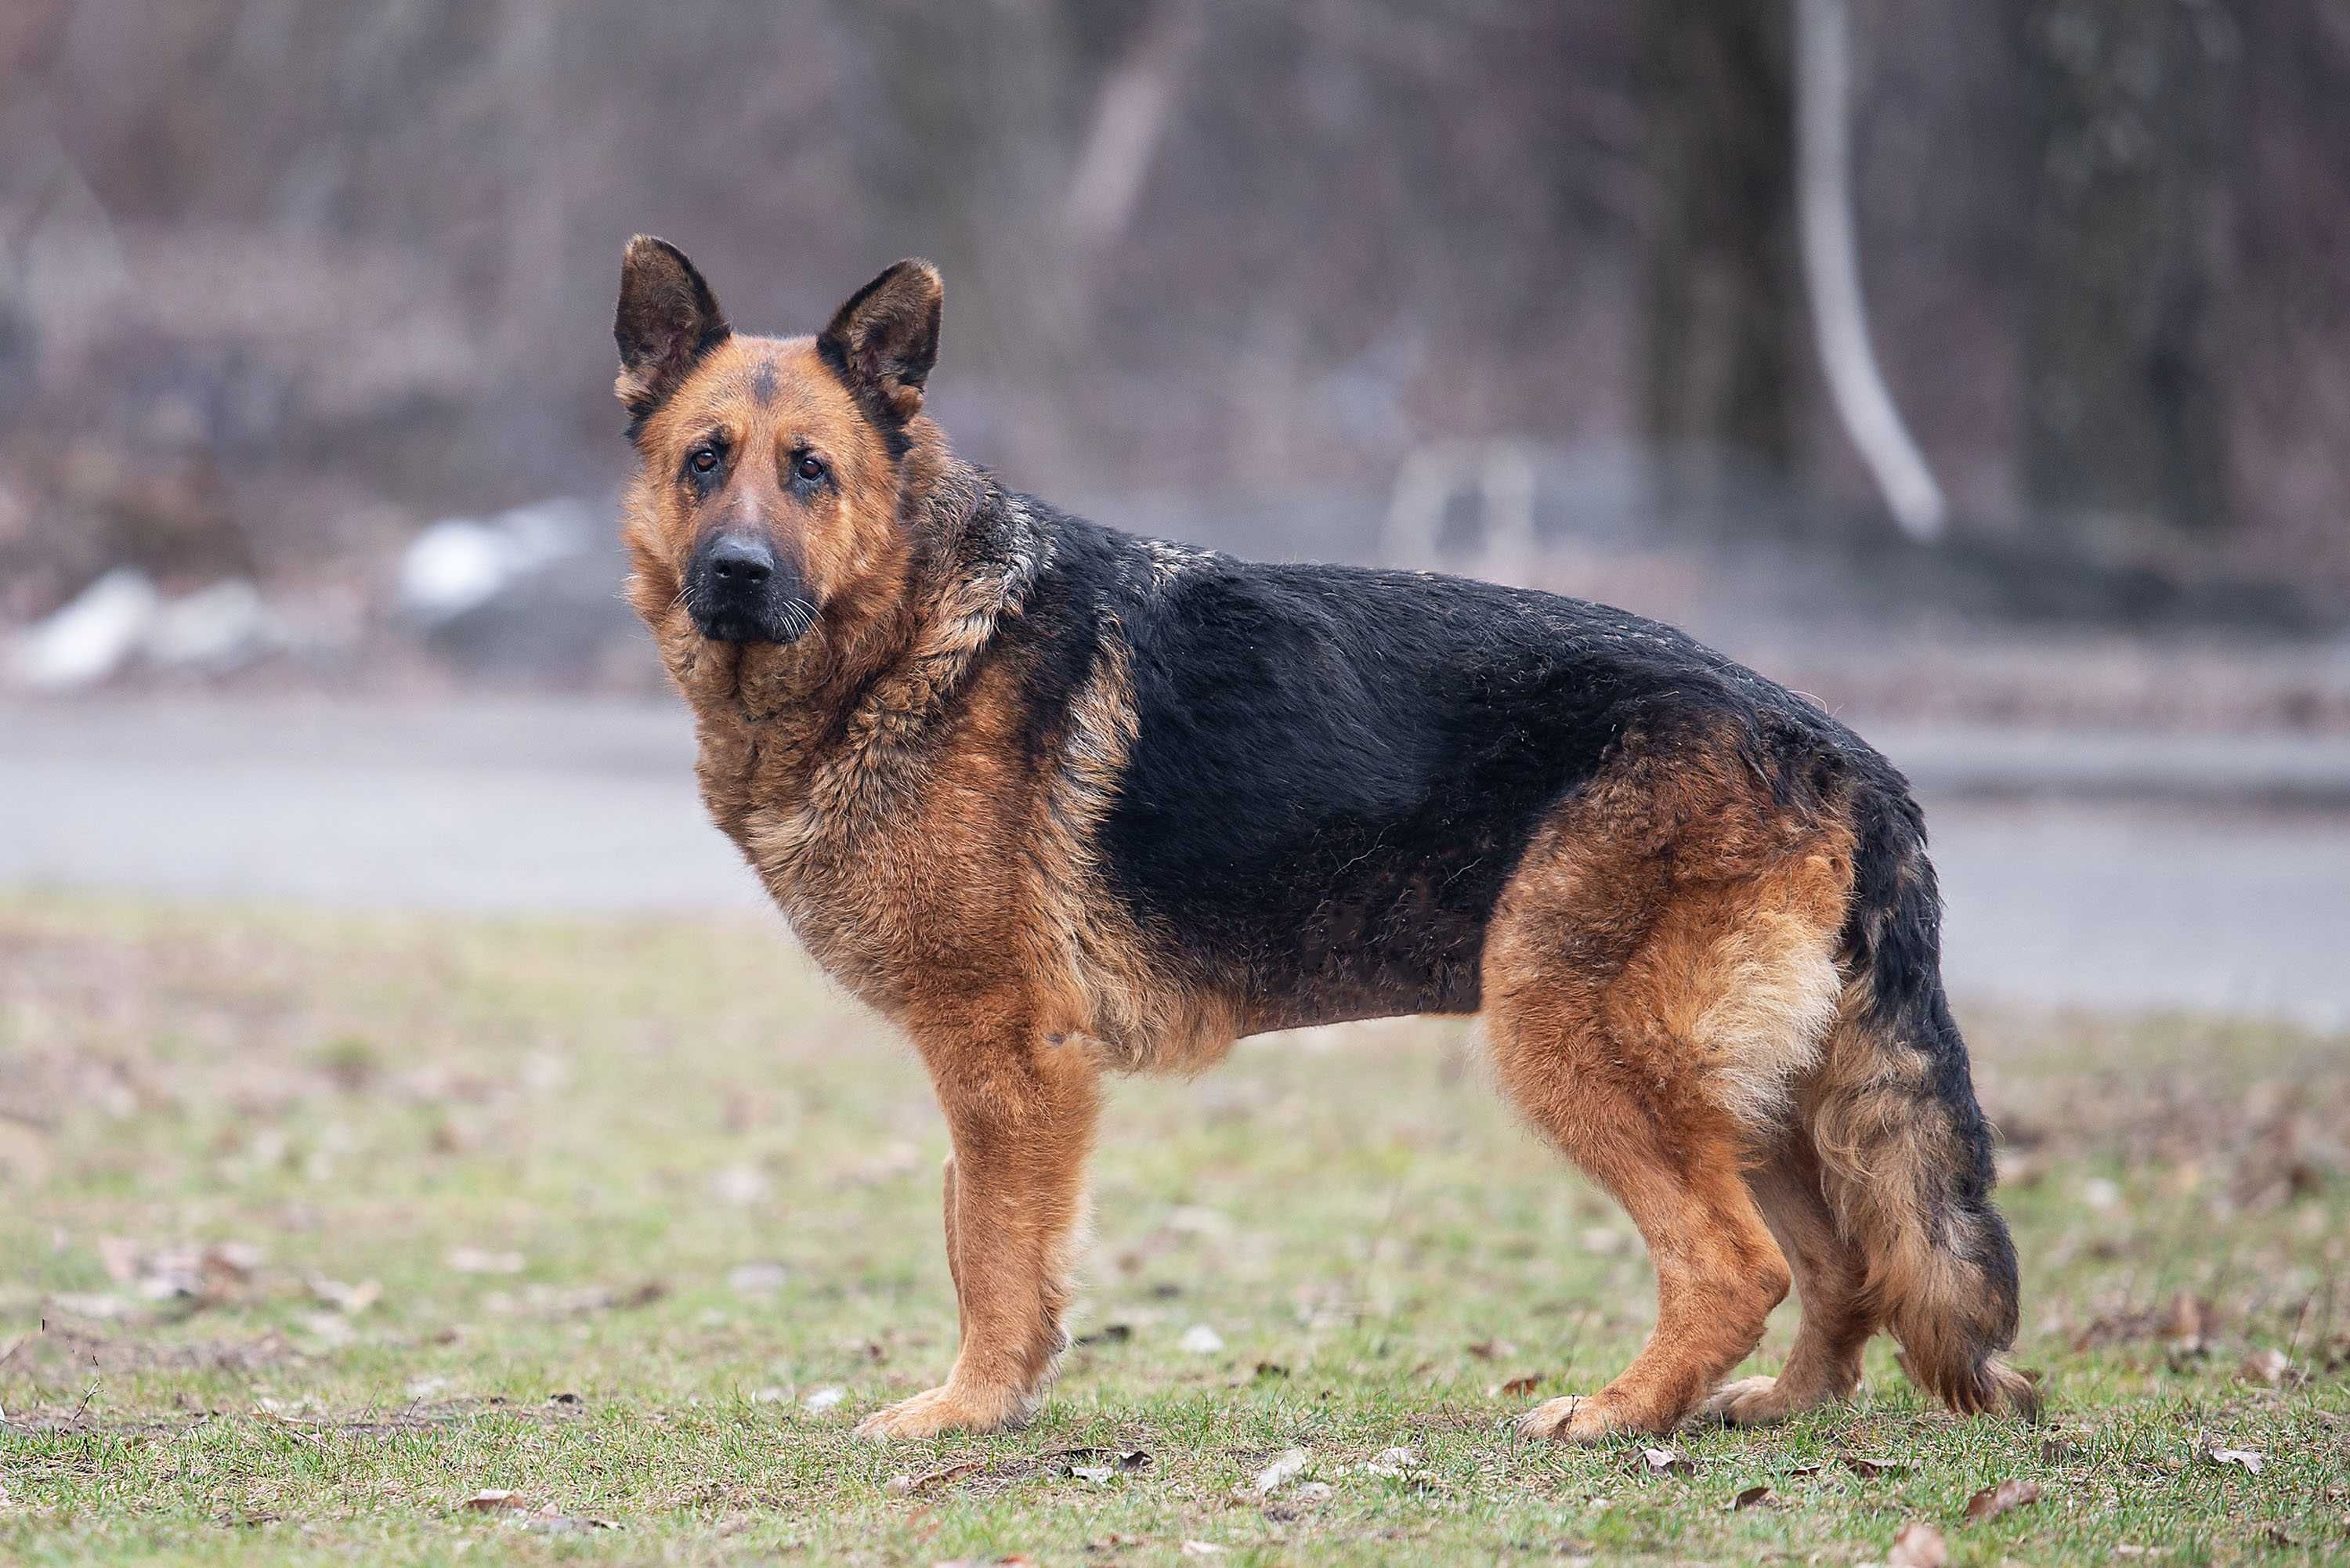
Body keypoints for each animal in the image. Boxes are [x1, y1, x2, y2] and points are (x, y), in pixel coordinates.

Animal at [616, 240, 2030, 1438]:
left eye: (810, 468)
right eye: (705, 460)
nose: (736, 573)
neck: (911, 629)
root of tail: (1842, 751)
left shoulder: (1006, 1055)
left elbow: (994, 1250)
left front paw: (969, 1412)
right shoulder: (992, 1064)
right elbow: (973, 1230)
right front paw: (990, 1398)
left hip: (1571, 1039)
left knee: (1738, 1263)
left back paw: (1620, 1413)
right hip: (1756, 1094)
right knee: (1843, 1262)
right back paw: (1779, 1405)